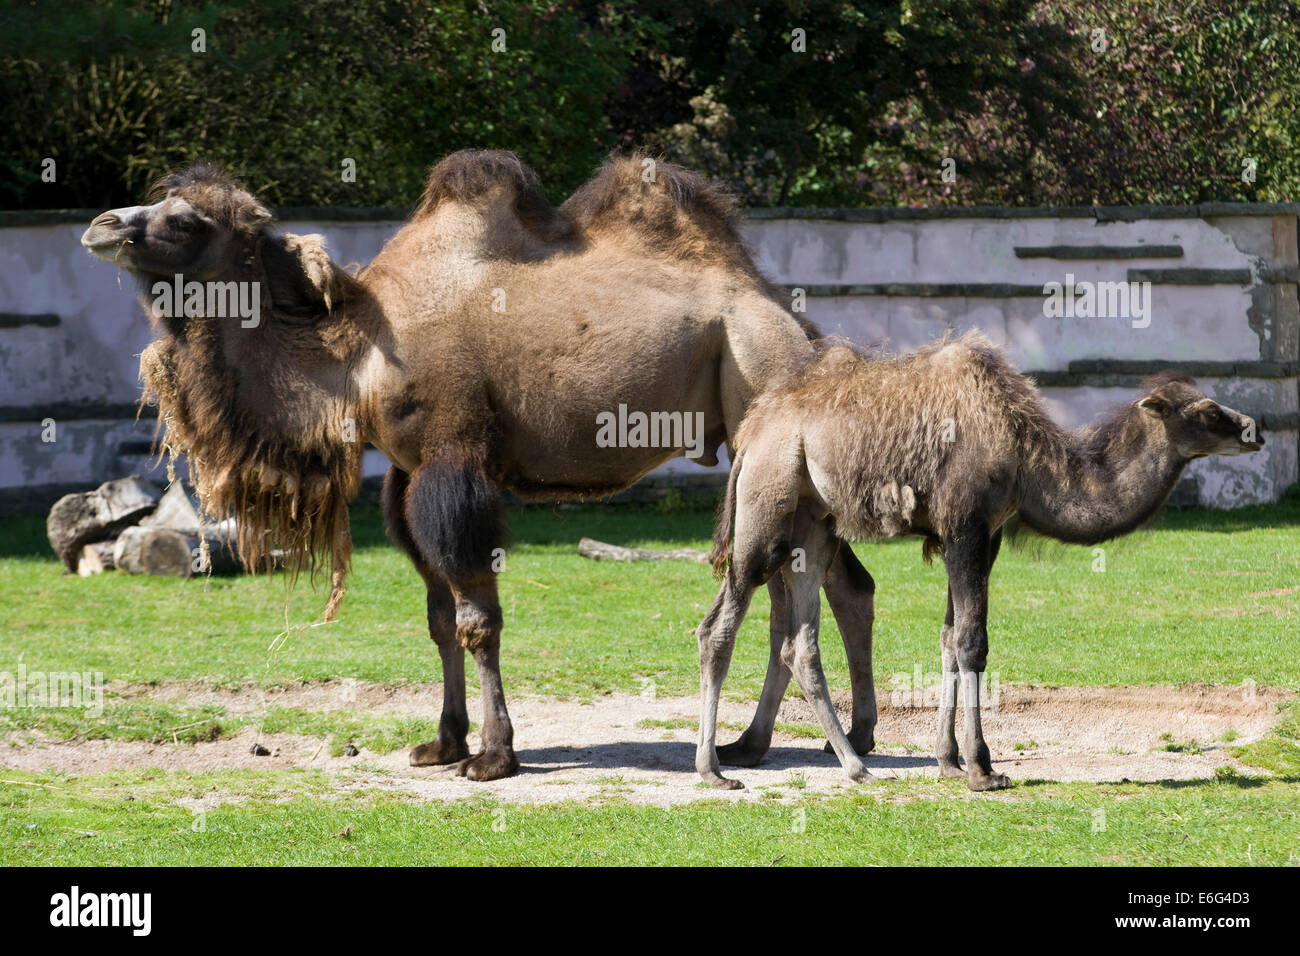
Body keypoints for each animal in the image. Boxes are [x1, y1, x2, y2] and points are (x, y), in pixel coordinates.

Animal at [707, 335, 1263, 790]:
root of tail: (751, 433)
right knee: (723, 621)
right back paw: (717, 770)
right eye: (1207, 411)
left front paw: (948, 762)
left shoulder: (988, 533)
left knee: (797, 636)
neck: (1024, 456)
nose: (1254, 429)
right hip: (768, 503)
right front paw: (981, 769)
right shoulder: (964, 525)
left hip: (812, 522)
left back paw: (833, 761)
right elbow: (973, 643)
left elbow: (950, 638)